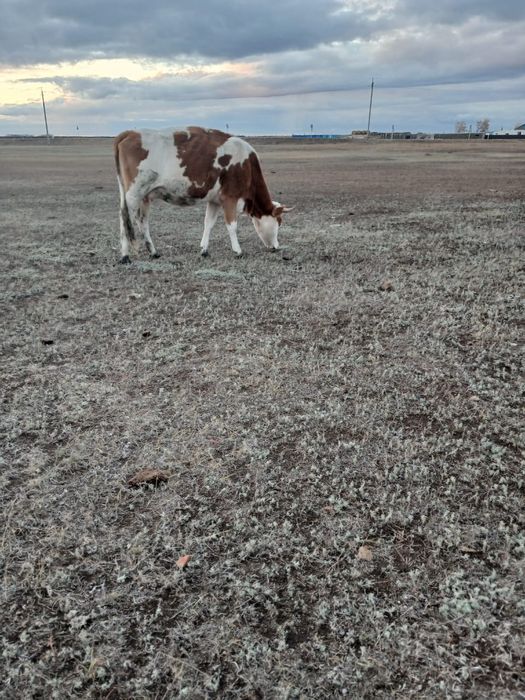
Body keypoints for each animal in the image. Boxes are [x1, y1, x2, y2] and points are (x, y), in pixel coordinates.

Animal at [113, 126, 293, 263]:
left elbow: (208, 223)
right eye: (279, 222)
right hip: (134, 193)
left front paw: (204, 250)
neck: (246, 165)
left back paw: (153, 252)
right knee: (124, 219)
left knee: (142, 222)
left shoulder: (214, 200)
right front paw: (238, 250)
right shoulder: (229, 197)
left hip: (143, 196)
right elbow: (232, 225)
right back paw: (125, 256)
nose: (276, 247)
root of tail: (130, 133)